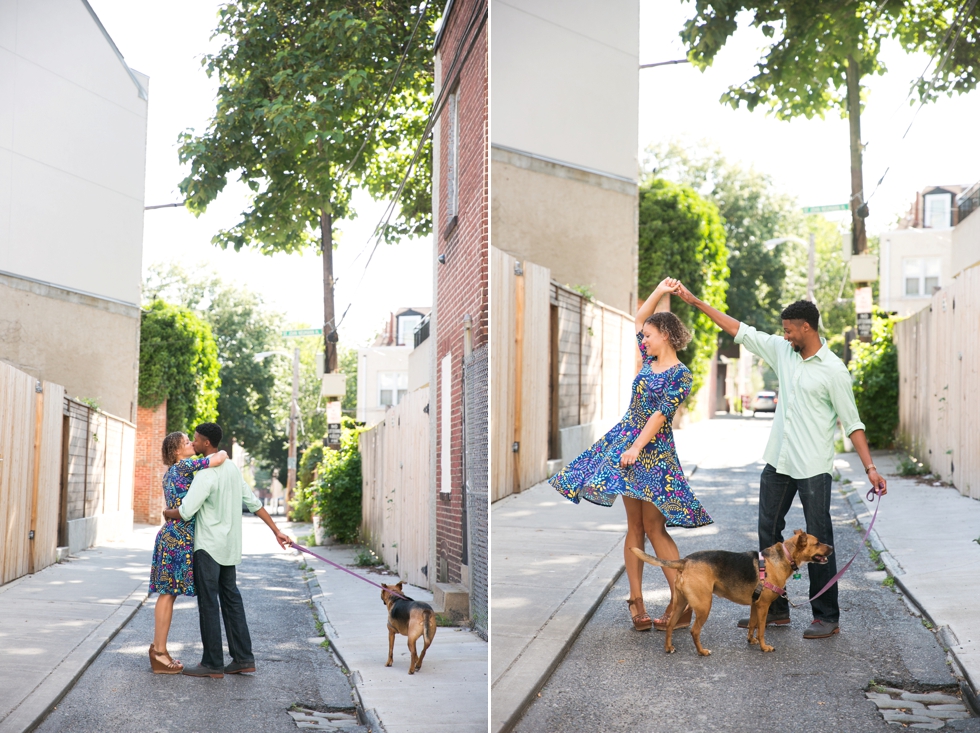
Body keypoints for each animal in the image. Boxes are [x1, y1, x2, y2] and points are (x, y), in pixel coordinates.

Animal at [632, 528, 832, 656]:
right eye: (818, 543)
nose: (831, 547)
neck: (784, 557)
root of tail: (685, 561)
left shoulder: (755, 605)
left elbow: (752, 625)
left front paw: (751, 641)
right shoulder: (763, 606)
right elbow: (761, 629)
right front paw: (764, 647)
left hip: (680, 604)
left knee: (670, 625)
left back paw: (669, 648)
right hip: (704, 606)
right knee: (695, 631)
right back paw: (702, 652)